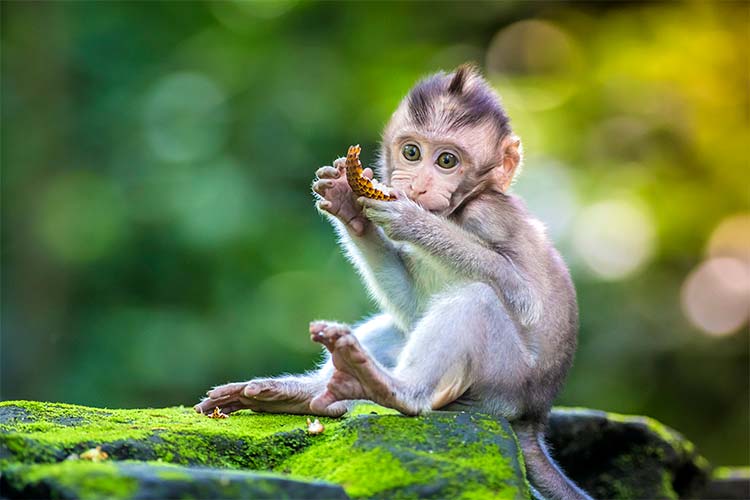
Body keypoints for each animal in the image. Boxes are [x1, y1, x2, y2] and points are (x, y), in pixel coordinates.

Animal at [198, 65, 592, 500]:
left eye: (447, 160)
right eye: (412, 152)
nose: (417, 186)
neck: (458, 210)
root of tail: (533, 418)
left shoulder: (489, 216)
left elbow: (525, 297)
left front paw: (410, 220)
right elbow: (413, 305)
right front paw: (348, 205)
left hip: (502, 383)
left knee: (476, 300)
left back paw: (394, 389)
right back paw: (304, 394)